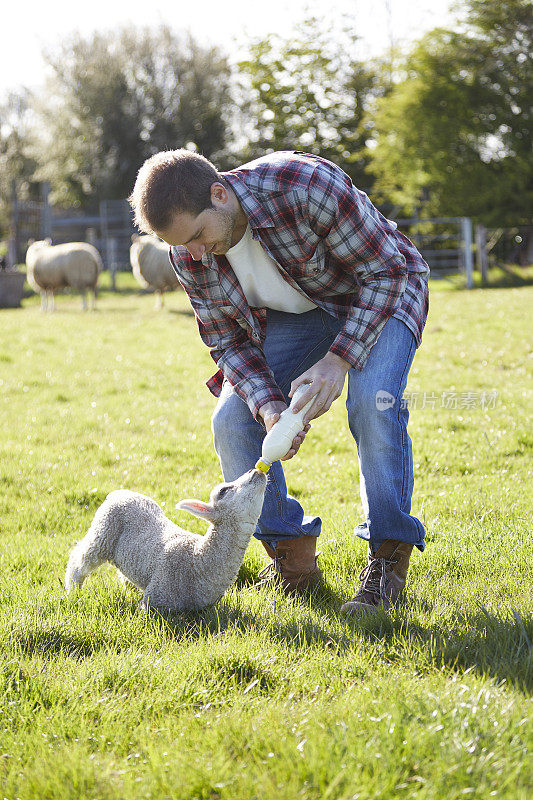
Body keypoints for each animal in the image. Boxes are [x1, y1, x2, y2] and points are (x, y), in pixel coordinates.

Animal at [65, 468, 268, 612]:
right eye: (223, 491)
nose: (255, 471)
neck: (198, 561)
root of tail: (119, 493)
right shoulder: (154, 599)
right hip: (103, 531)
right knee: (78, 560)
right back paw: (72, 591)